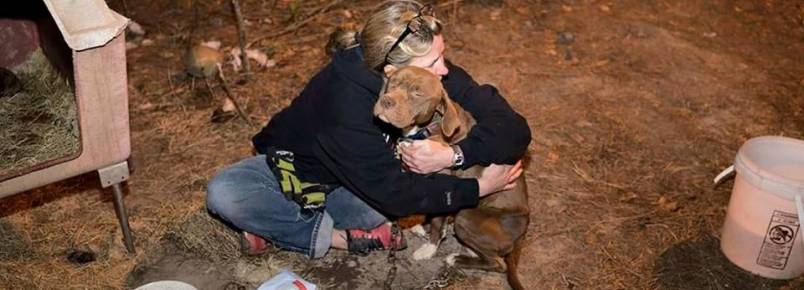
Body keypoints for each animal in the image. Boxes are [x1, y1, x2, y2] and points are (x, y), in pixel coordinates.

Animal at [374, 66, 532, 290]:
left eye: (417, 93)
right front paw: (416, 224)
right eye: (393, 82)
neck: (427, 129)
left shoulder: (442, 183)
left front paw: (429, 248)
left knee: (498, 262)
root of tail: (523, 229)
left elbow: (436, 222)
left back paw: (456, 258)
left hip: (467, 217)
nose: (386, 101)